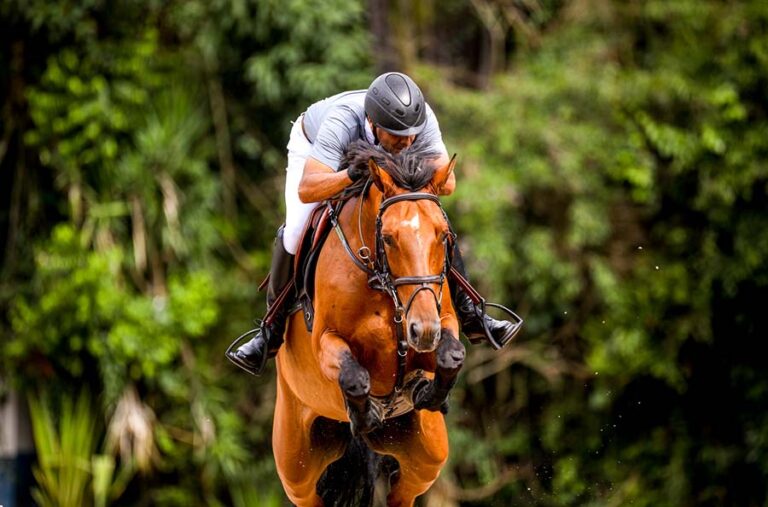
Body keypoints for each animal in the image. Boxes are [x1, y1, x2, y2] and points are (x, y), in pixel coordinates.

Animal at [272, 140, 464, 507]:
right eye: (387, 238)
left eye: (443, 235)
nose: (422, 331)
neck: (381, 282)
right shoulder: (326, 342)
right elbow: (354, 376)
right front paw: (366, 415)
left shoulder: (439, 319)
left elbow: (451, 354)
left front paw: (427, 391)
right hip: (295, 469)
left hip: (427, 456)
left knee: (403, 492)